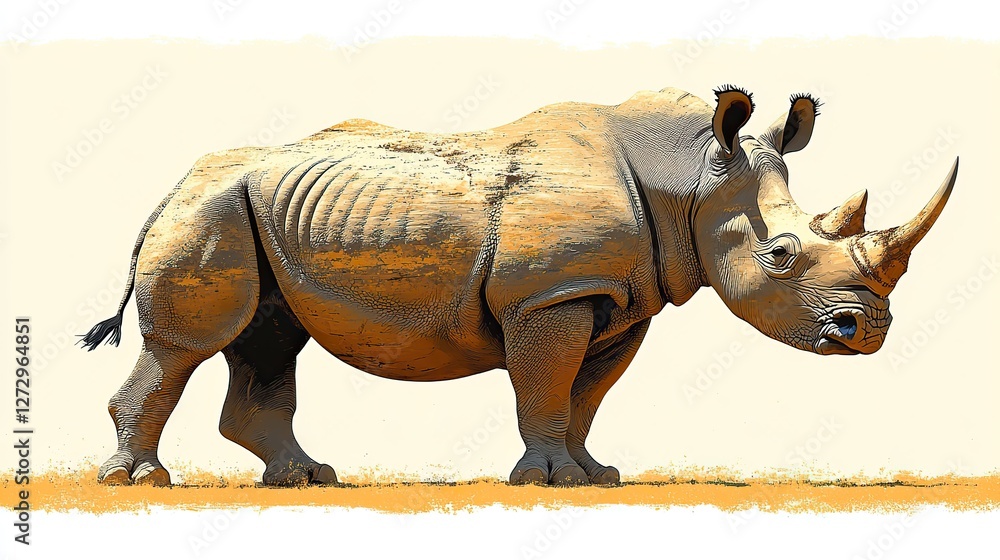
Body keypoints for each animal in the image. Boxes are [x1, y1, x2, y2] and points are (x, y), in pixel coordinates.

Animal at [81, 85, 957, 487]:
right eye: (779, 255)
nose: (864, 334)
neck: (692, 180)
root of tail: (173, 182)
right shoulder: (553, 295)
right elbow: (544, 386)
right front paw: (551, 480)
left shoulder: (614, 298)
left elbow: (585, 395)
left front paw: (595, 476)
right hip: (211, 208)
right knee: (192, 344)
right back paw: (141, 483)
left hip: (258, 210)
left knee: (267, 339)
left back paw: (306, 479)